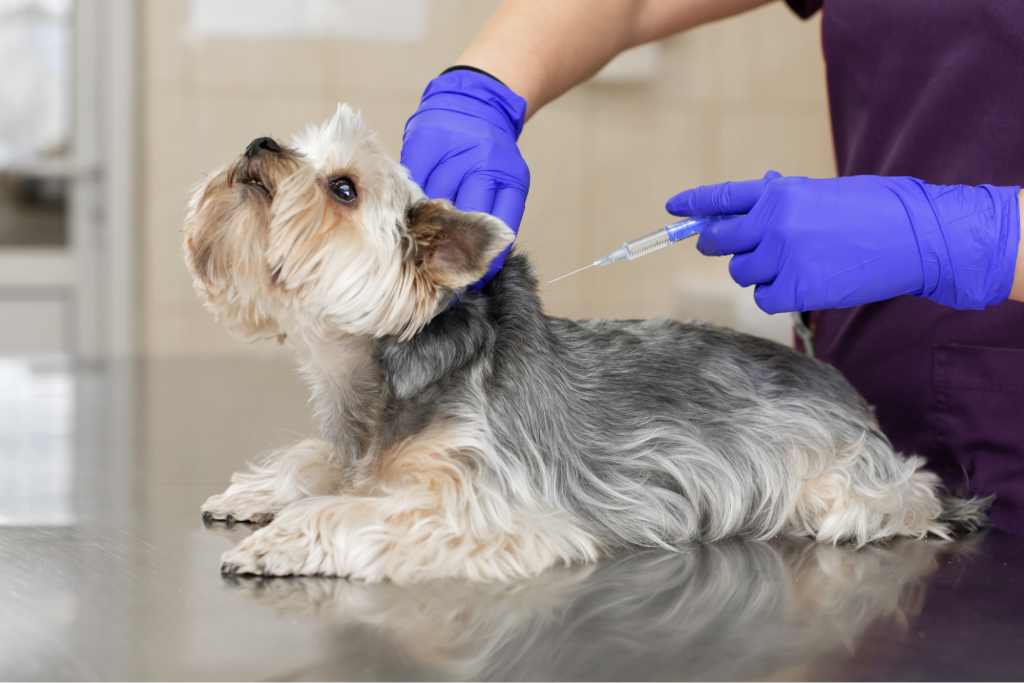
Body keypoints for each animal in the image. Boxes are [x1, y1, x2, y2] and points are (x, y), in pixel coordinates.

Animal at [186, 105, 991, 581]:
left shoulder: (484, 505)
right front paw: (259, 492)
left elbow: (356, 509)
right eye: (292, 144)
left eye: (344, 188)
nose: (258, 142)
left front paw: (284, 536)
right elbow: (319, 462)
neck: (379, 373)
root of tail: (836, 383)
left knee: (907, 493)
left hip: (841, 476)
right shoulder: (357, 448)